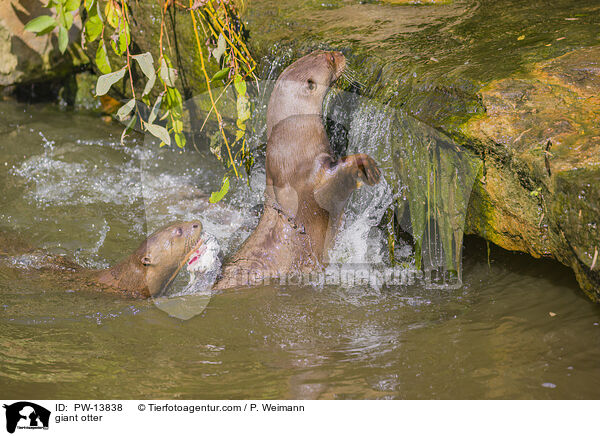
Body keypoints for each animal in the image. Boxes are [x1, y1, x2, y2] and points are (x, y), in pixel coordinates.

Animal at [211, 50, 380, 290]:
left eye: (319, 51)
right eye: (330, 60)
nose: (340, 53)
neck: (295, 143)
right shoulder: (314, 178)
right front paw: (367, 165)